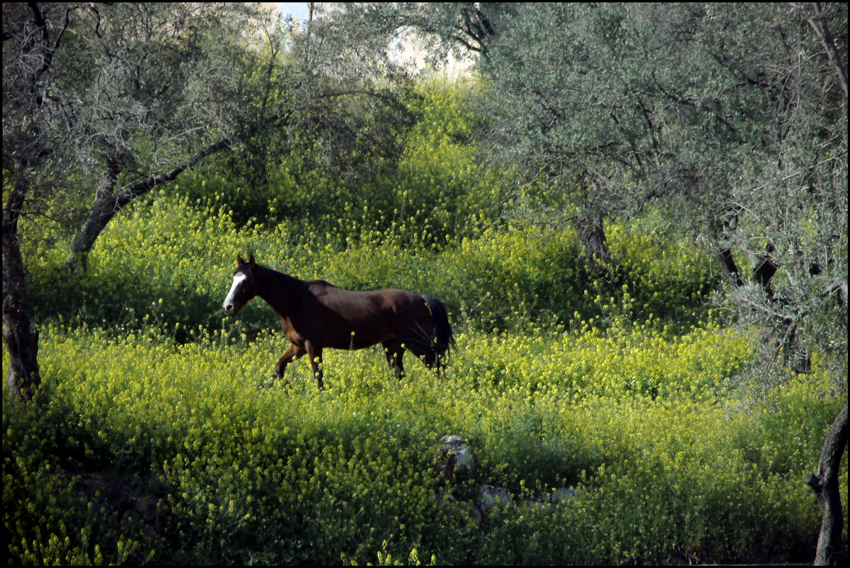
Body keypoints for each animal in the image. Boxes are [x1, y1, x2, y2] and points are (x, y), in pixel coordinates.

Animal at [222, 255, 454, 388]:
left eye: (246, 281)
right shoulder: (298, 346)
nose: (228, 306)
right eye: (233, 278)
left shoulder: (313, 346)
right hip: (393, 346)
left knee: (438, 368)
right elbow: (279, 367)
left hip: (418, 345)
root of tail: (420, 298)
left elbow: (318, 378)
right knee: (401, 375)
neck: (297, 299)